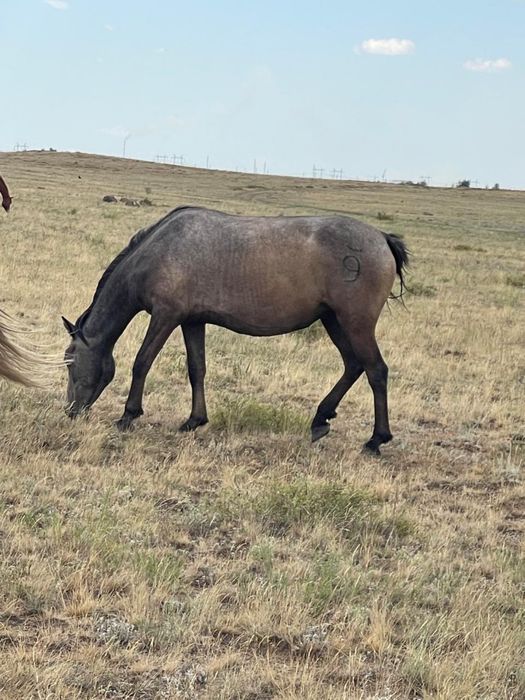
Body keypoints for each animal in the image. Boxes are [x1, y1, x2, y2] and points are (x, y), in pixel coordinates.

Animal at [62, 206, 408, 454]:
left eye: (70, 362)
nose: (70, 411)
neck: (159, 250)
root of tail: (381, 238)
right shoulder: (192, 321)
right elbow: (196, 369)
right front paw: (194, 420)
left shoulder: (165, 316)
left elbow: (142, 361)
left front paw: (128, 415)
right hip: (334, 321)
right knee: (353, 366)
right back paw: (320, 420)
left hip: (355, 323)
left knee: (376, 371)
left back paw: (376, 440)